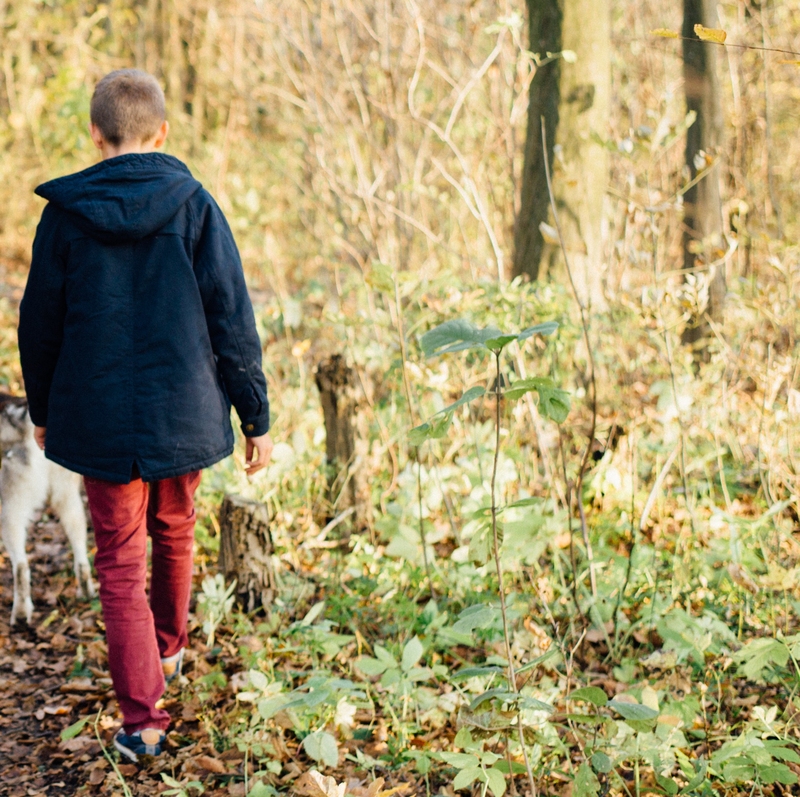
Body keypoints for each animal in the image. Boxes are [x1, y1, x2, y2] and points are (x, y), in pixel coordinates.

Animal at [0, 394, 94, 624]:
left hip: (10, 510)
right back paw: (87, 591)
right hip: (68, 498)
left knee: (21, 567)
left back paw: (21, 614)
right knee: (80, 553)